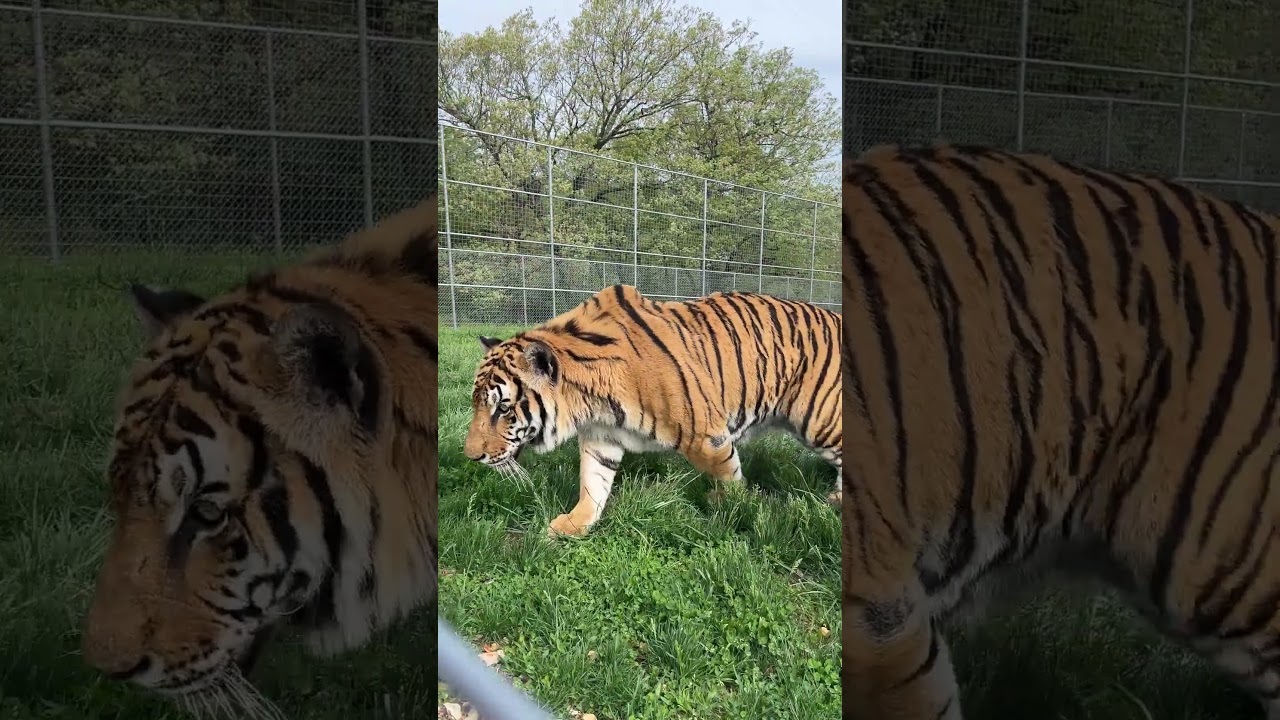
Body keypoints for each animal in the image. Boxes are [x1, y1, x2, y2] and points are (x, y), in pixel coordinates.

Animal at [462, 284, 842, 538]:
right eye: (477, 404)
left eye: (503, 408)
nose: (470, 457)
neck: (590, 403)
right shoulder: (601, 438)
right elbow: (593, 483)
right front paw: (574, 524)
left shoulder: (707, 437)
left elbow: (730, 475)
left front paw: (735, 505)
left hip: (819, 419)